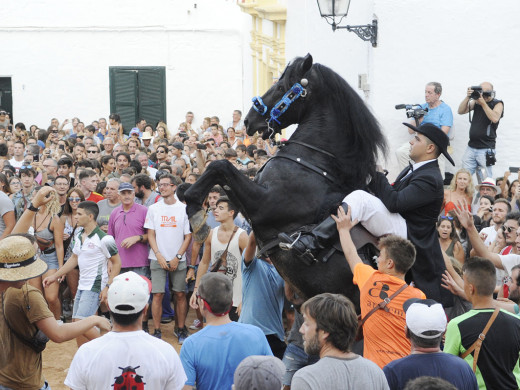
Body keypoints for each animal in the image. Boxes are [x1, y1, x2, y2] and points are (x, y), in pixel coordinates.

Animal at [184, 54, 386, 304]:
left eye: (281, 87)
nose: (249, 121)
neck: (315, 162)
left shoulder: (264, 205)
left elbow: (219, 166)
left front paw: (195, 212)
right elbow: (219, 172)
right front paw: (193, 206)